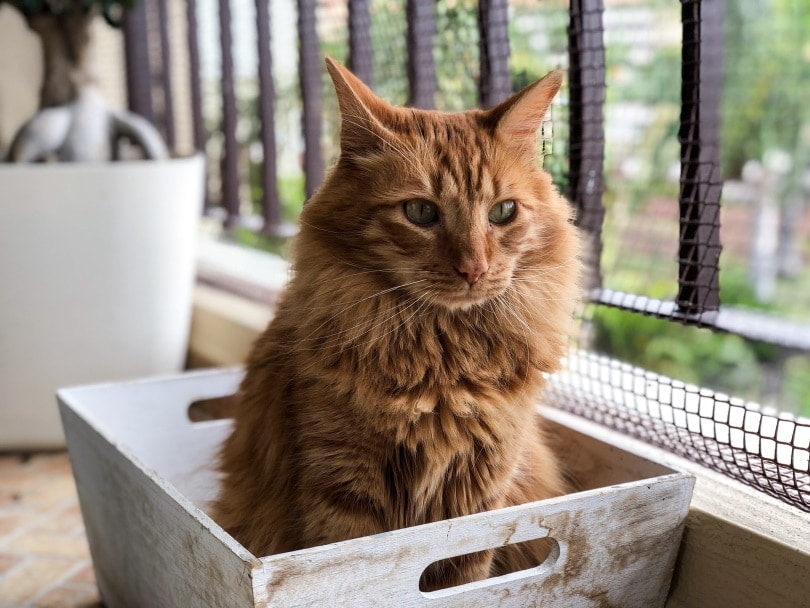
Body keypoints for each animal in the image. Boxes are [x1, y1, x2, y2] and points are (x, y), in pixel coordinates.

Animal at [213, 57, 580, 588]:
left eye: (503, 212)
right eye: (421, 211)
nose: (474, 269)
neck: (442, 360)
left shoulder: (480, 501)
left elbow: (465, 580)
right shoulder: (343, 492)